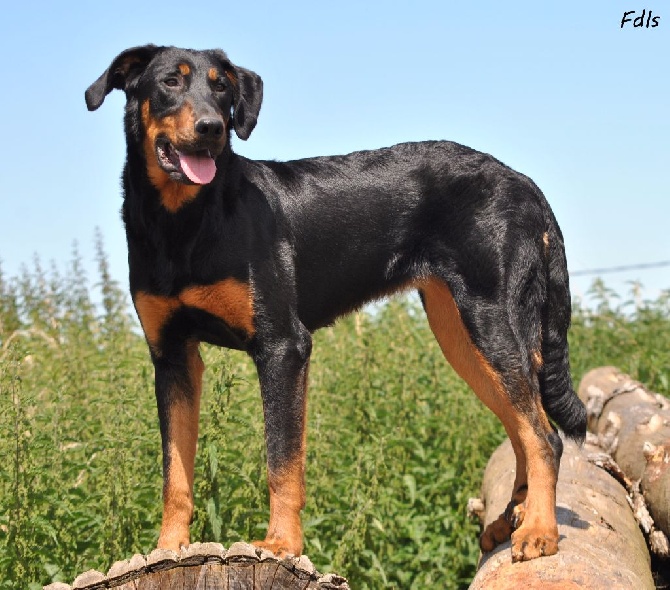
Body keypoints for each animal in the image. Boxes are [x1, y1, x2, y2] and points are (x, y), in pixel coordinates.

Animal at [85, 44, 588, 560]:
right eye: (170, 81)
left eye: (221, 86)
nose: (212, 128)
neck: (182, 222)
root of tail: (525, 183)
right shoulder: (172, 356)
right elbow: (175, 471)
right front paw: (168, 548)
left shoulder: (282, 346)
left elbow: (282, 460)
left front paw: (281, 543)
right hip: (463, 337)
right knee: (521, 428)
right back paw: (512, 519)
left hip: (491, 322)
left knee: (544, 436)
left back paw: (538, 530)